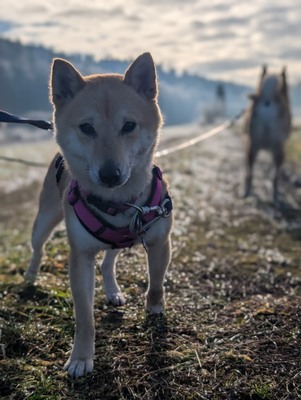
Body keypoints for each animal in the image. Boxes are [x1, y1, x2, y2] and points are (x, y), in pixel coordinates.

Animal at [24, 53, 172, 378]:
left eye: (129, 125)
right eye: (86, 128)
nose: (109, 175)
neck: (118, 203)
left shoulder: (160, 242)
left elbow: (156, 282)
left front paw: (155, 308)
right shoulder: (80, 256)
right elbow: (84, 317)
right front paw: (81, 357)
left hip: (117, 241)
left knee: (108, 262)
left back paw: (113, 290)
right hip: (45, 219)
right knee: (38, 248)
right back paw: (30, 274)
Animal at [243, 67, 290, 202]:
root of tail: (267, 100)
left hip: (251, 147)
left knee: (249, 172)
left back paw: (246, 191)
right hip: (278, 150)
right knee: (275, 176)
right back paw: (275, 194)